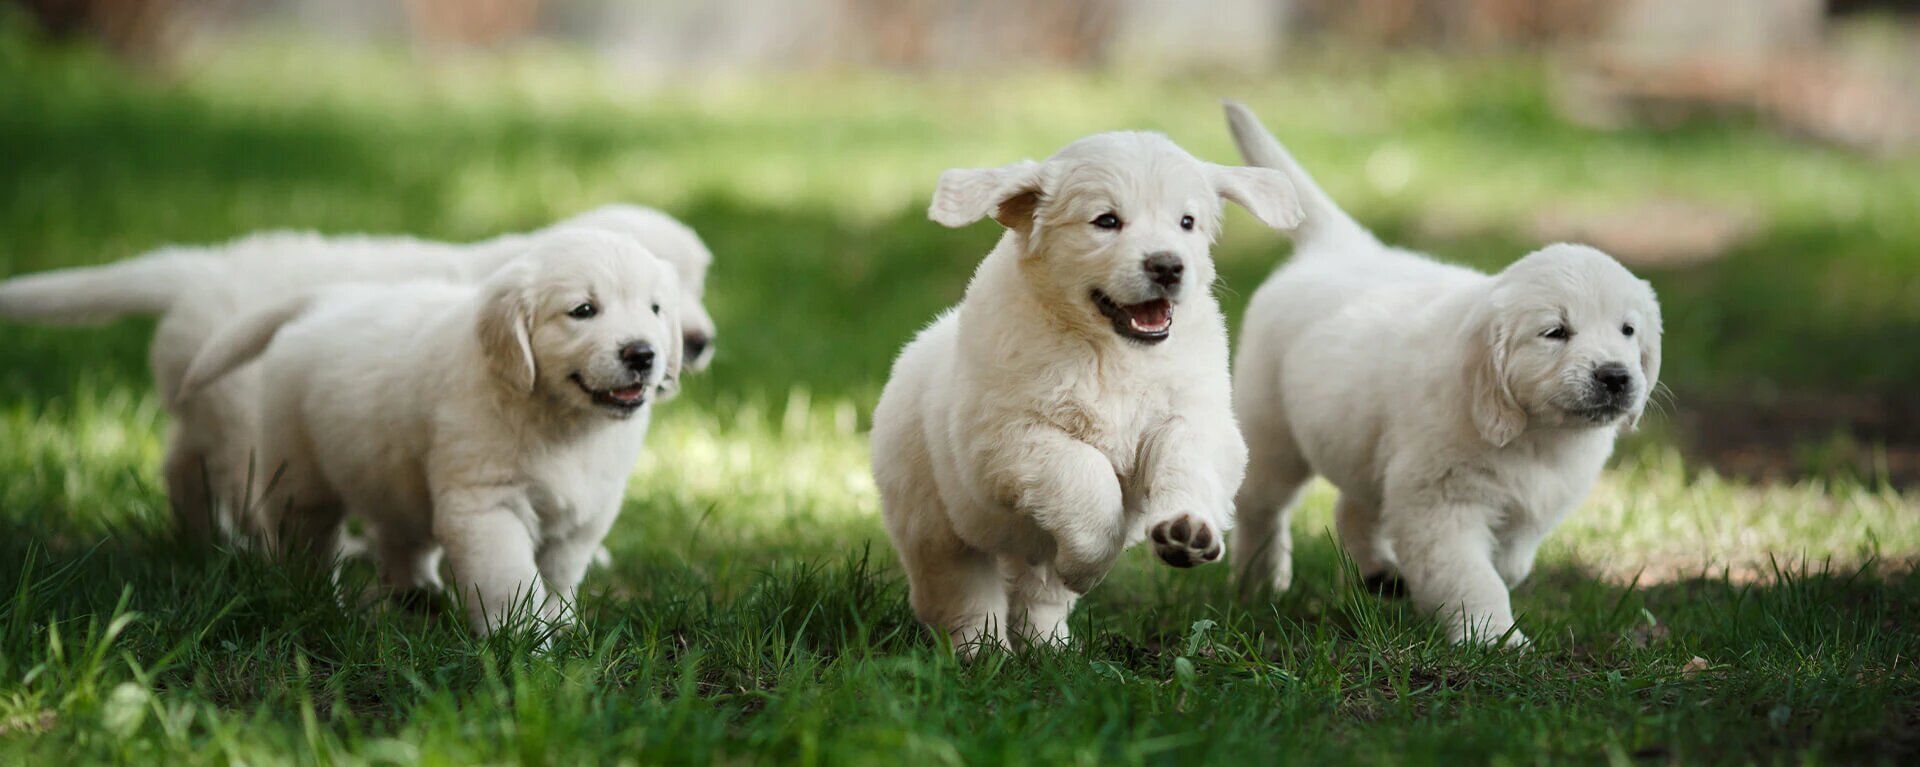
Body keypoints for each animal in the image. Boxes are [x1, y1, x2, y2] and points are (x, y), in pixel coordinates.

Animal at [0, 203, 718, 542]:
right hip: (246, 411)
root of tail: (195, 269)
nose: (699, 343)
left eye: (695, 283)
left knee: (181, 462)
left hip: (205, 399)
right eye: (588, 309)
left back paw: (198, 537)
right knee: (243, 483)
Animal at [174, 228, 683, 638]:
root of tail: (325, 301)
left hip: (394, 474)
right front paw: (522, 643)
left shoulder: (587, 513)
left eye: (656, 308)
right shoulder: (486, 506)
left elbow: (559, 574)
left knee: (399, 538)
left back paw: (418, 596)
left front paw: (563, 625)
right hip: (300, 473)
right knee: (306, 539)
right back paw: (318, 599)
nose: (643, 354)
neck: (561, 420)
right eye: (583, 311)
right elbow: (511, 579)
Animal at [875, 128, 1305, 653]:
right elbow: (1084, 472)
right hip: (935, 523)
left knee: (1039, 595)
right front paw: (1091, 562)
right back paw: (983, 653)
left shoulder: (1192, 415)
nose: (1168, 266)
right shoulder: (1004, 438)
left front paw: (1187, 530)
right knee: (962, 594)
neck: (1109, 350)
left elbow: (1187, 460)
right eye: (1106, 221)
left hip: (1026, 554)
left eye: (1187, 222)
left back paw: (1050, 649)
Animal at [1228, 98, 1666, 645]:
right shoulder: (1439, 503)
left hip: (1362, 439)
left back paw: (1379, 574)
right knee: (1260, 507)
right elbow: (1472, 576)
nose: (1615, 376)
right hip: (1272, 432)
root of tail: (1339, 247)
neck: (1536, 435)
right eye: (1555, 332)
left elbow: (1510, 560)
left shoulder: (1527, 505)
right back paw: (1259, 582)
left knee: (1353, 506)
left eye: (1628, 330)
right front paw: (1494, 639)